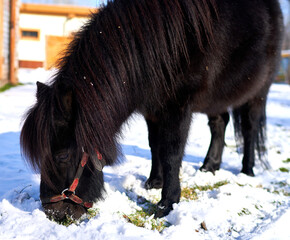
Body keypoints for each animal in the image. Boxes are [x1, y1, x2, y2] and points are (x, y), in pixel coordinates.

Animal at [20, 0, 284, 221]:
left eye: (62, 156)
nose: (53, 212)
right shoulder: (152, 110)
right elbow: (155, 144)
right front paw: (154, 182)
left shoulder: (178, 108)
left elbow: (171, 152)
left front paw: (167, 203)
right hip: (216, 98)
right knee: (219, 123)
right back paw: (209, 166)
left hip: (258, 93)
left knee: (249, 128)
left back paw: (247, 170)